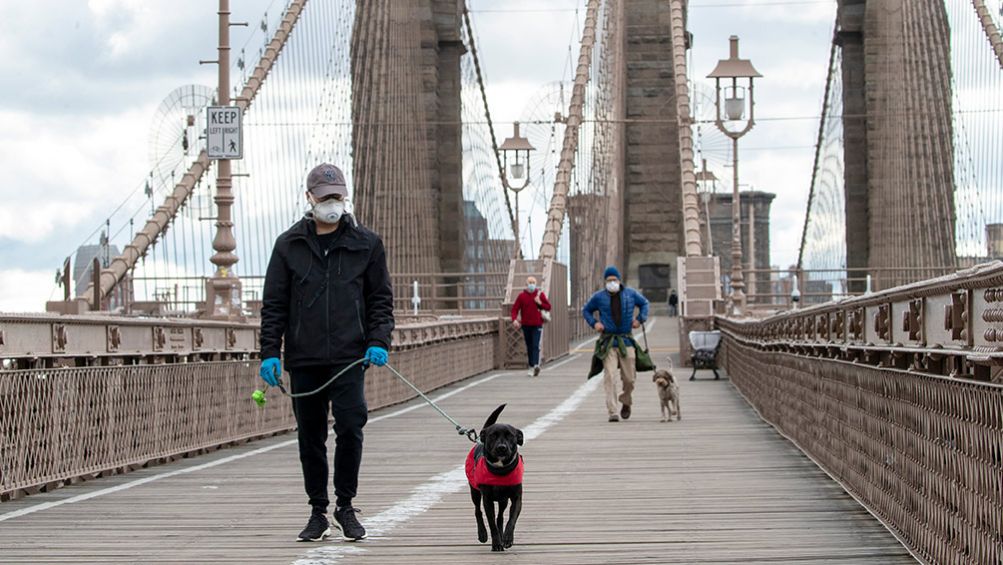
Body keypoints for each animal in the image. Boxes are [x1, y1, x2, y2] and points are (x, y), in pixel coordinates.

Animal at [463, 405, 525, 549]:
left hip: (503, 501)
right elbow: (491, 524)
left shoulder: (516, 498)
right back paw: (482, 534)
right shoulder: (487, 500)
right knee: (477, 511)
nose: (502, 447)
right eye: (492, 435)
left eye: (510, 436)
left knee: (500, 517)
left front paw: (507, 538)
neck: (500, 469)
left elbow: (511, 520)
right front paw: (496, 543)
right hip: (475, 492)